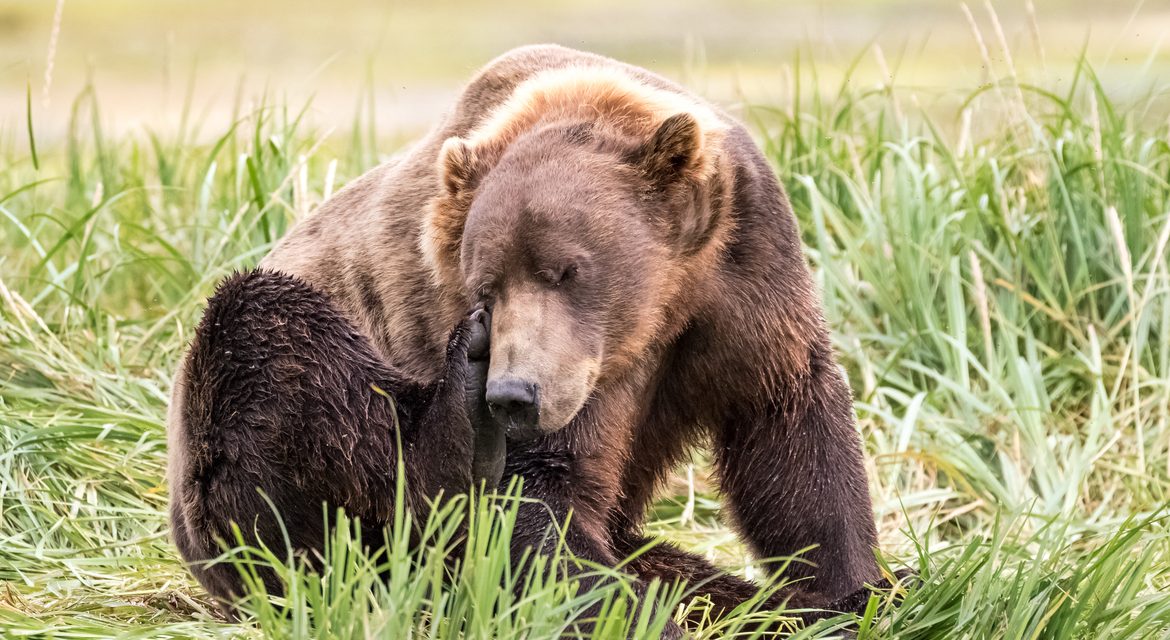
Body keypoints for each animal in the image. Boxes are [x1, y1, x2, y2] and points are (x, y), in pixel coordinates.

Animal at [167, 44, 887, 632]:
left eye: (566, 269)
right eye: (483, 286)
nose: (514, 394)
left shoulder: (744, 276)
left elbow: (788, 429)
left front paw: (856, 590)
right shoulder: (564, 371)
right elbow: (538, 501)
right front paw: (632, 617)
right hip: (233, 448)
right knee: (272, 348)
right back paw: (458, 436)